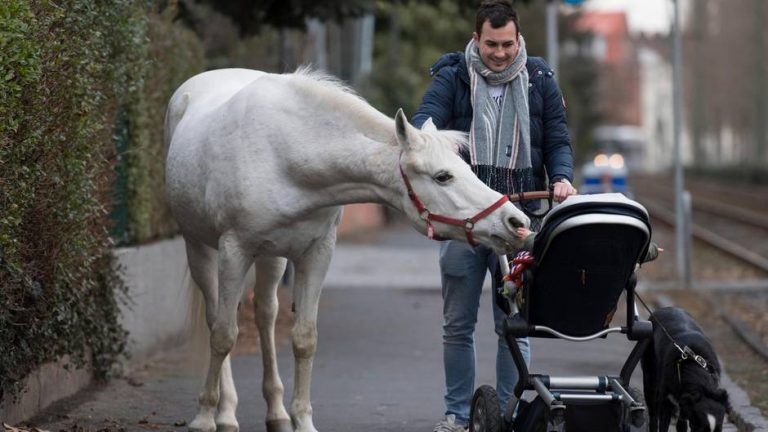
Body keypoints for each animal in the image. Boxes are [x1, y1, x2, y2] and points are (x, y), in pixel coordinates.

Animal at [165, 68, 532, 432]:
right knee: (216, 318)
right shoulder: (234, 250)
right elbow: (223, 335)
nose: (516, 221)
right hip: (201, 248)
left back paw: (276, 412)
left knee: (265, 315)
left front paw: (302, 420)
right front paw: (203, 417)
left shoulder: (316, 254)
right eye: (443, 176)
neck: (284, 155)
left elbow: (304, 338)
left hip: (271, 257)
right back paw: (224, 412)